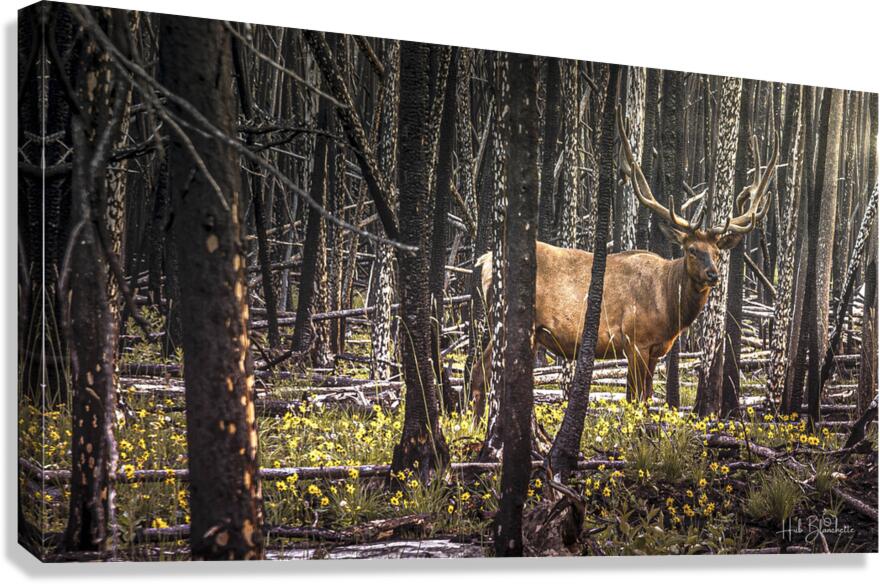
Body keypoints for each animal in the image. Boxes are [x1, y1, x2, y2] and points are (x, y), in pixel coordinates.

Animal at [469, 110, 778, 415]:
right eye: (691, 249)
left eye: (717, 252)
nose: (713, 275)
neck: (668, 307)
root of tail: (484, 261)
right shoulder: (635, 341)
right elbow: (634, 400)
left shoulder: (655, 350)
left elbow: (647, 399)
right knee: (479, 371)